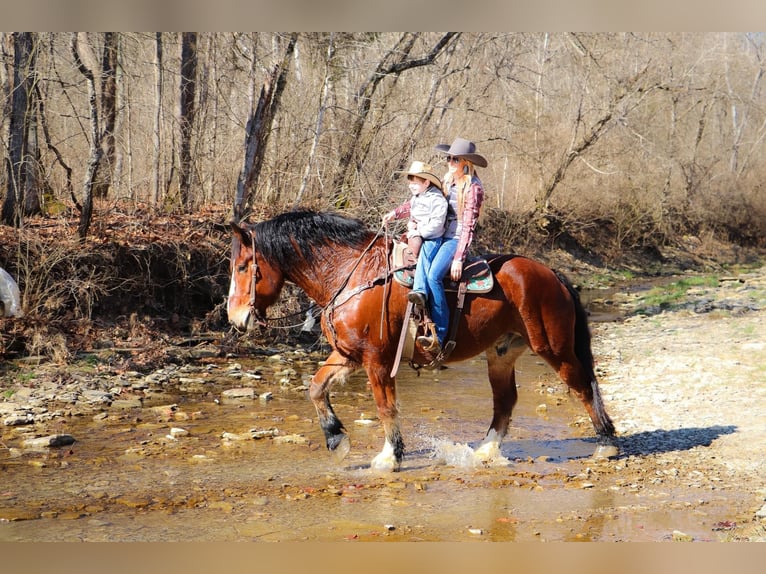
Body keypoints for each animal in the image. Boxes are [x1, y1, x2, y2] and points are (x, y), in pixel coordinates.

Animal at [228, 212, 616, 472]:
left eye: (244, 267)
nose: (235, 318)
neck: (352, 274)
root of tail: (553, 274)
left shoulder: (377, 361)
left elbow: (386, 407)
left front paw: (389, 457)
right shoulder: (347, 355)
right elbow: (316, 388)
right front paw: (337, 441)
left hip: (555, 349)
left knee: (583, 387)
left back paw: (607, 445)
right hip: (501, 353)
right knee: (505, 401)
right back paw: (485, 451)